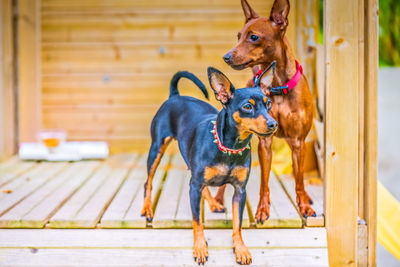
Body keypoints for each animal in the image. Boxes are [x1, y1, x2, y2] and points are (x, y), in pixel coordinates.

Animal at [142, 63, 276, 266]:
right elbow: (197, 221)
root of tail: (175, 95)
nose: (273, 124)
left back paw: (213, 204)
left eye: (268, 104)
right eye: (247, 106)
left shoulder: (239, 191)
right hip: (157, 148)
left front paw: (240, 249)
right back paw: (147, 208)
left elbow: (237, 224)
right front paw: (200, 247)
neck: (230, 148)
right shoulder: (195, 186)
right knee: (148, 181)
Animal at [216, 0, 316, 222]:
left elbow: (299, 180)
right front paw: (262, 208)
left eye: (254, 37)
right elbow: (264, 182)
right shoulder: (265, 143)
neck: (278, 87)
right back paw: (218, 199)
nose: (226, 56)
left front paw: (304, 205)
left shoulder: (298, 143)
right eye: (238, 36)